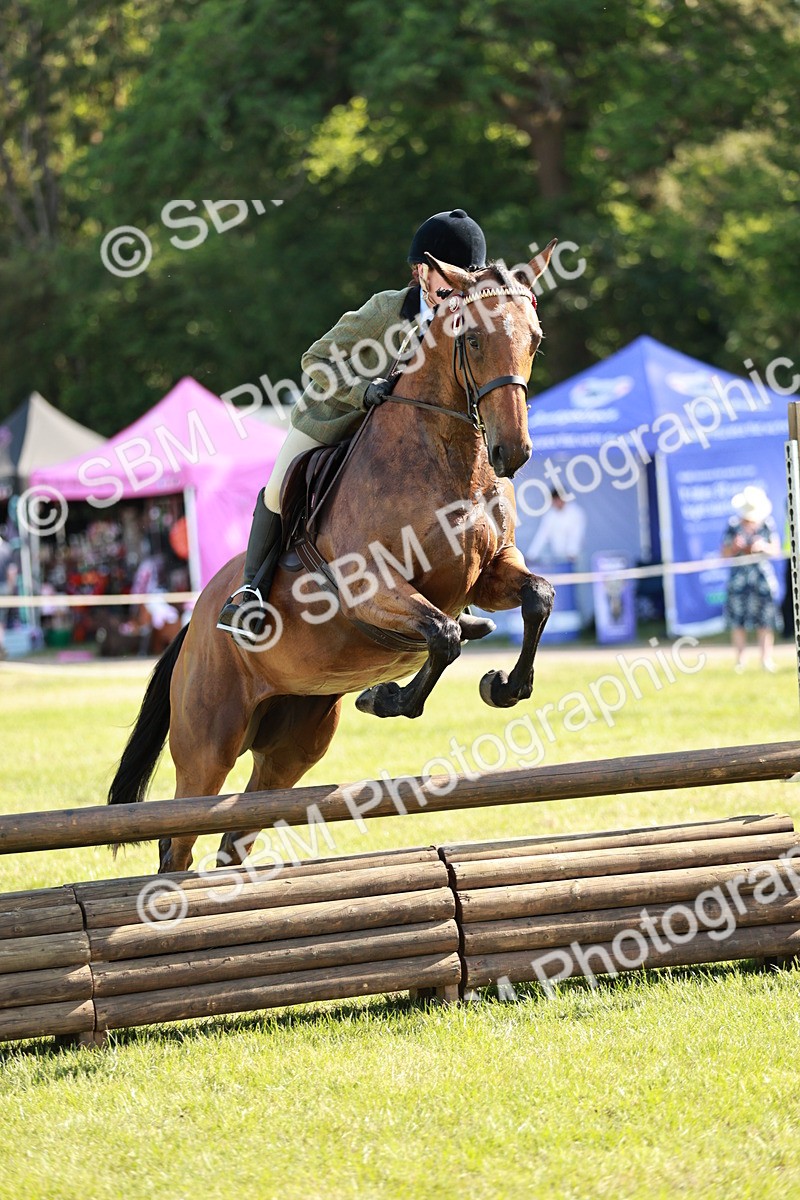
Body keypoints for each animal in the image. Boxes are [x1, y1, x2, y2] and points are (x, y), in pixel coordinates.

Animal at [108, 245, 558, 874]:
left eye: (534, 340)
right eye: (470, 340)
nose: (511, 452)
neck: (451, 459)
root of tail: (194, 622)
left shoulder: (487, 575)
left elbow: (535, 596)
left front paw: (505, 686)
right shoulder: (370, 586)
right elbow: (443, 636)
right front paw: (388, 698)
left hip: (295, 741)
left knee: (235, 835)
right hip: (208, 742)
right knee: (179, 840)